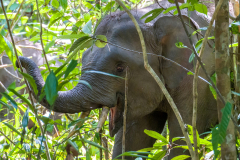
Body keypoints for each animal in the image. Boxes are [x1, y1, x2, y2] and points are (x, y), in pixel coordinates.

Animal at [15, 0, 218, 159]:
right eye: (83, 58)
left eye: (120, 68)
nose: (18, 62)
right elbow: (132, 142)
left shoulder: (200, 80)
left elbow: (183, 145)